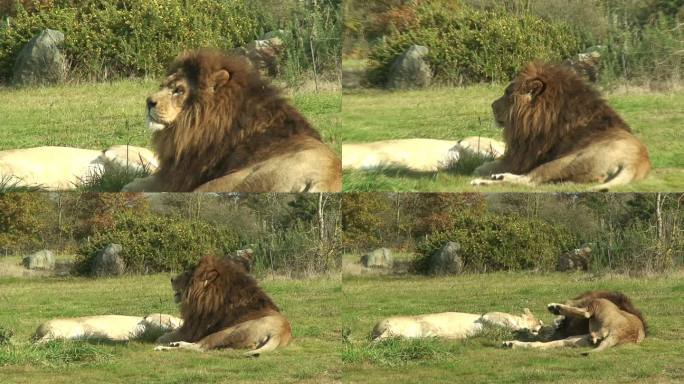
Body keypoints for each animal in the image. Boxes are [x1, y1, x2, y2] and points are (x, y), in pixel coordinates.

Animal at [121, 49, 340, 192]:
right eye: (163, 86)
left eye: (179, 90)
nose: (149, 102)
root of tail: (325, 179)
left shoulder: (181, 176)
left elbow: (133, 184)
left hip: (228, 181)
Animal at [152, 254, 292, 356]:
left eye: (187, 274)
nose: (171, 279)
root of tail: (280, 333)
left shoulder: (193, 329)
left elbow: (163, 336)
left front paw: (161, 339)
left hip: (227, 332)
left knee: (199, 347)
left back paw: (167, 347)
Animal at [472, 60, 648, 190]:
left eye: (508, 93)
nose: (492, 105)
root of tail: (636, 163)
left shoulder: (527, 156)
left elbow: (486, 166)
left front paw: (480, 171)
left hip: (567, 160)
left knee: (529, 180)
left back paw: (486, 180)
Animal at [502, 292, 648, 354]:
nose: (542, 329)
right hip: (579, 338)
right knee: (544, 344)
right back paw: (511, 344)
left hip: (599, 303)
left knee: (586, 313)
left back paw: (555, 307)